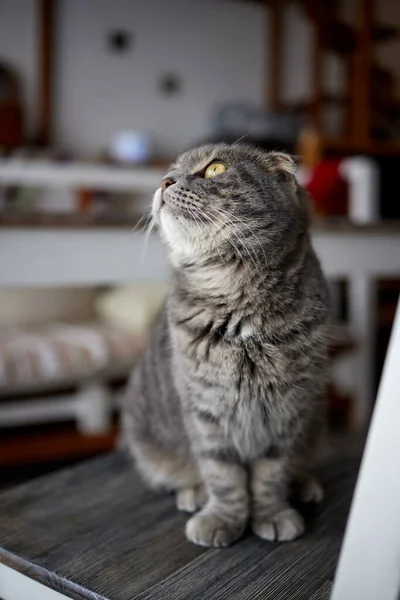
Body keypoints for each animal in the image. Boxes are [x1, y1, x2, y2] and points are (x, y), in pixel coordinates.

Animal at [122, 143, 328, 548]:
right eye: (170, 171)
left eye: (215, 169)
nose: (164, 181)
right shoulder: (205, 411)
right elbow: (223, 476)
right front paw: (222, 519)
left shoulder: (288, 411)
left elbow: (271, 475)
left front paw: (272, 514)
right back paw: (193, 493)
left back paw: (305, 484)